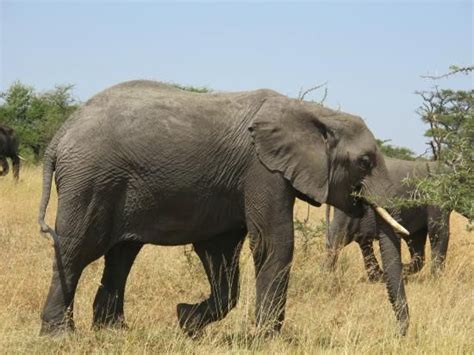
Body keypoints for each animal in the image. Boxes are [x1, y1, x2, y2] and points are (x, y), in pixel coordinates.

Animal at [39, 79, 412, 338]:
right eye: (365, 162)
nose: (400, 334)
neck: (311, 112)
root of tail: (60, 134)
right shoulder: (262, 171)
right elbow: (273, 243)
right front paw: (267, 338)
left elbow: (220, 254)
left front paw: (186, 321)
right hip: (90, 180)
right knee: (76, 249)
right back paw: (59, 336)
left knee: (121, 254)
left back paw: (114, 331)